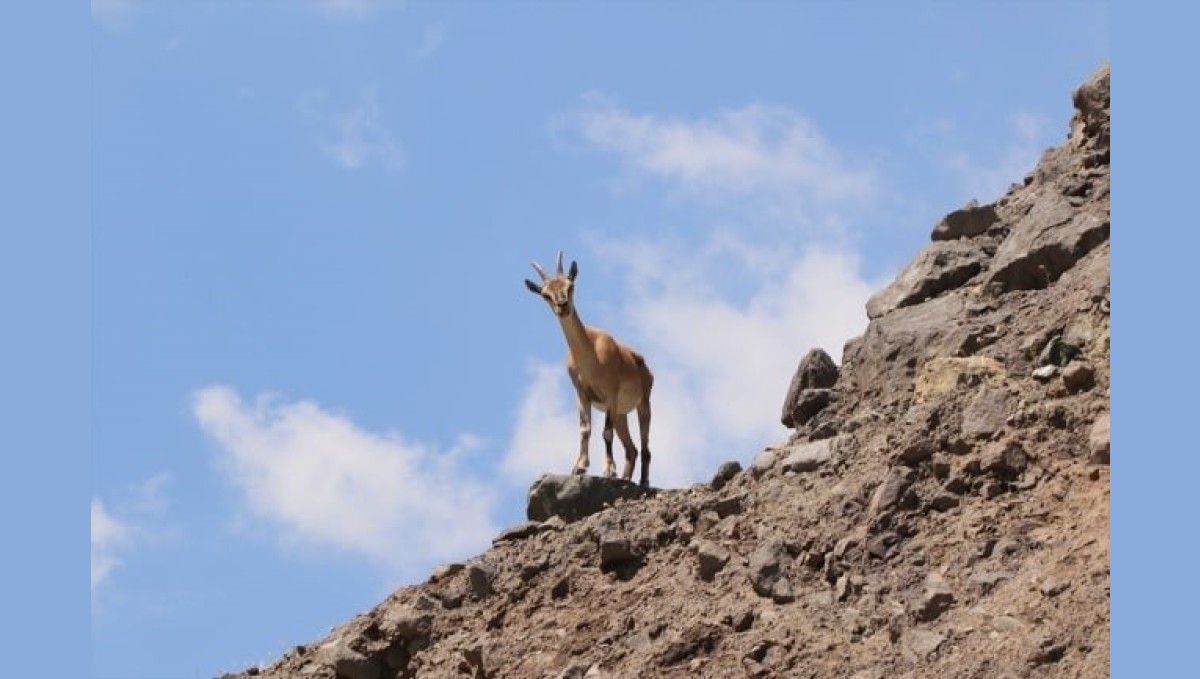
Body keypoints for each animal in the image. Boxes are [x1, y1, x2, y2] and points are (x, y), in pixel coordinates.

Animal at [525, 253, 657, 487]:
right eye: (545, 294)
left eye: (570, 286)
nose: (562, 305)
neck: (591, 356)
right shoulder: (582, 394)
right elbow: (585, 429)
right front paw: (579, 466)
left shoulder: (610, 394)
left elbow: (606, 433)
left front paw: (608, 470)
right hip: (621, 414)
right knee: (631, 449)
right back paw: (625, 478)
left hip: (643, 404)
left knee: (644, 447)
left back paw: (643, 482)